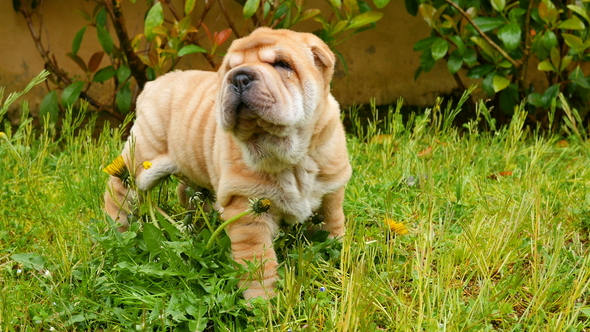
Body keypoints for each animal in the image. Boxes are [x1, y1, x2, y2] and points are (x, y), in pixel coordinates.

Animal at [103, 27, 352, 300]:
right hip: (142, 157)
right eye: (231, 67)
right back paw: (117, 230)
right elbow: (258, 261)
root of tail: (153, 84)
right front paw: (262, 301)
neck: (290, 154)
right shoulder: (246, 205)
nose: (240, 77)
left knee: (186, 192)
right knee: (119, 190)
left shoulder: (331, 189)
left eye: (282, 64)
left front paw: (337, 257)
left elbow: (333, 222)